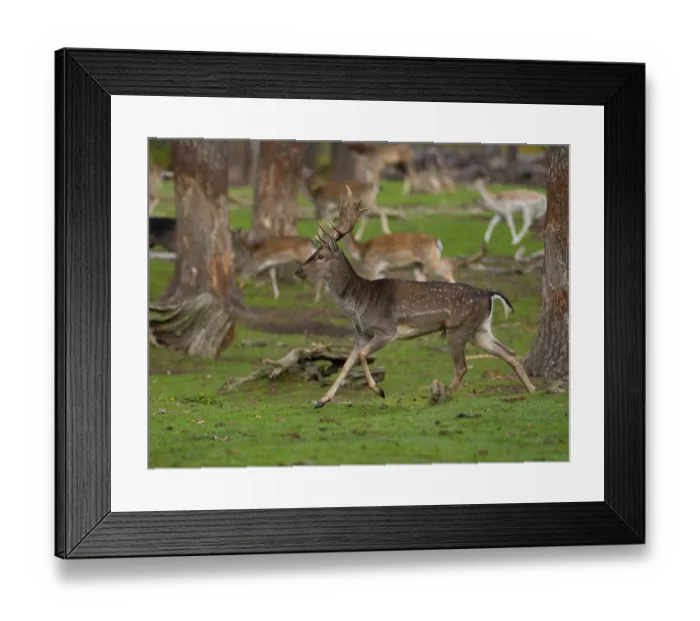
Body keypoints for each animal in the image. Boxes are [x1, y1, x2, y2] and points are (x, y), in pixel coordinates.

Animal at [294, 186, 537, 409]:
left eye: (320, 256)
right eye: (313, 253)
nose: (298, 271)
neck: (359, 302)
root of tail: (489, 294)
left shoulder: (387, 330)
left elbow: (362, 356)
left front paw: (378, 390)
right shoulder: (362, 334)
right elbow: (346, 364)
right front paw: (321, 400)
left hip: (458, 329)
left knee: (462, 367)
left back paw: (442, 397)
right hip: (480, 330)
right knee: (509, 353)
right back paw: (531, 388)